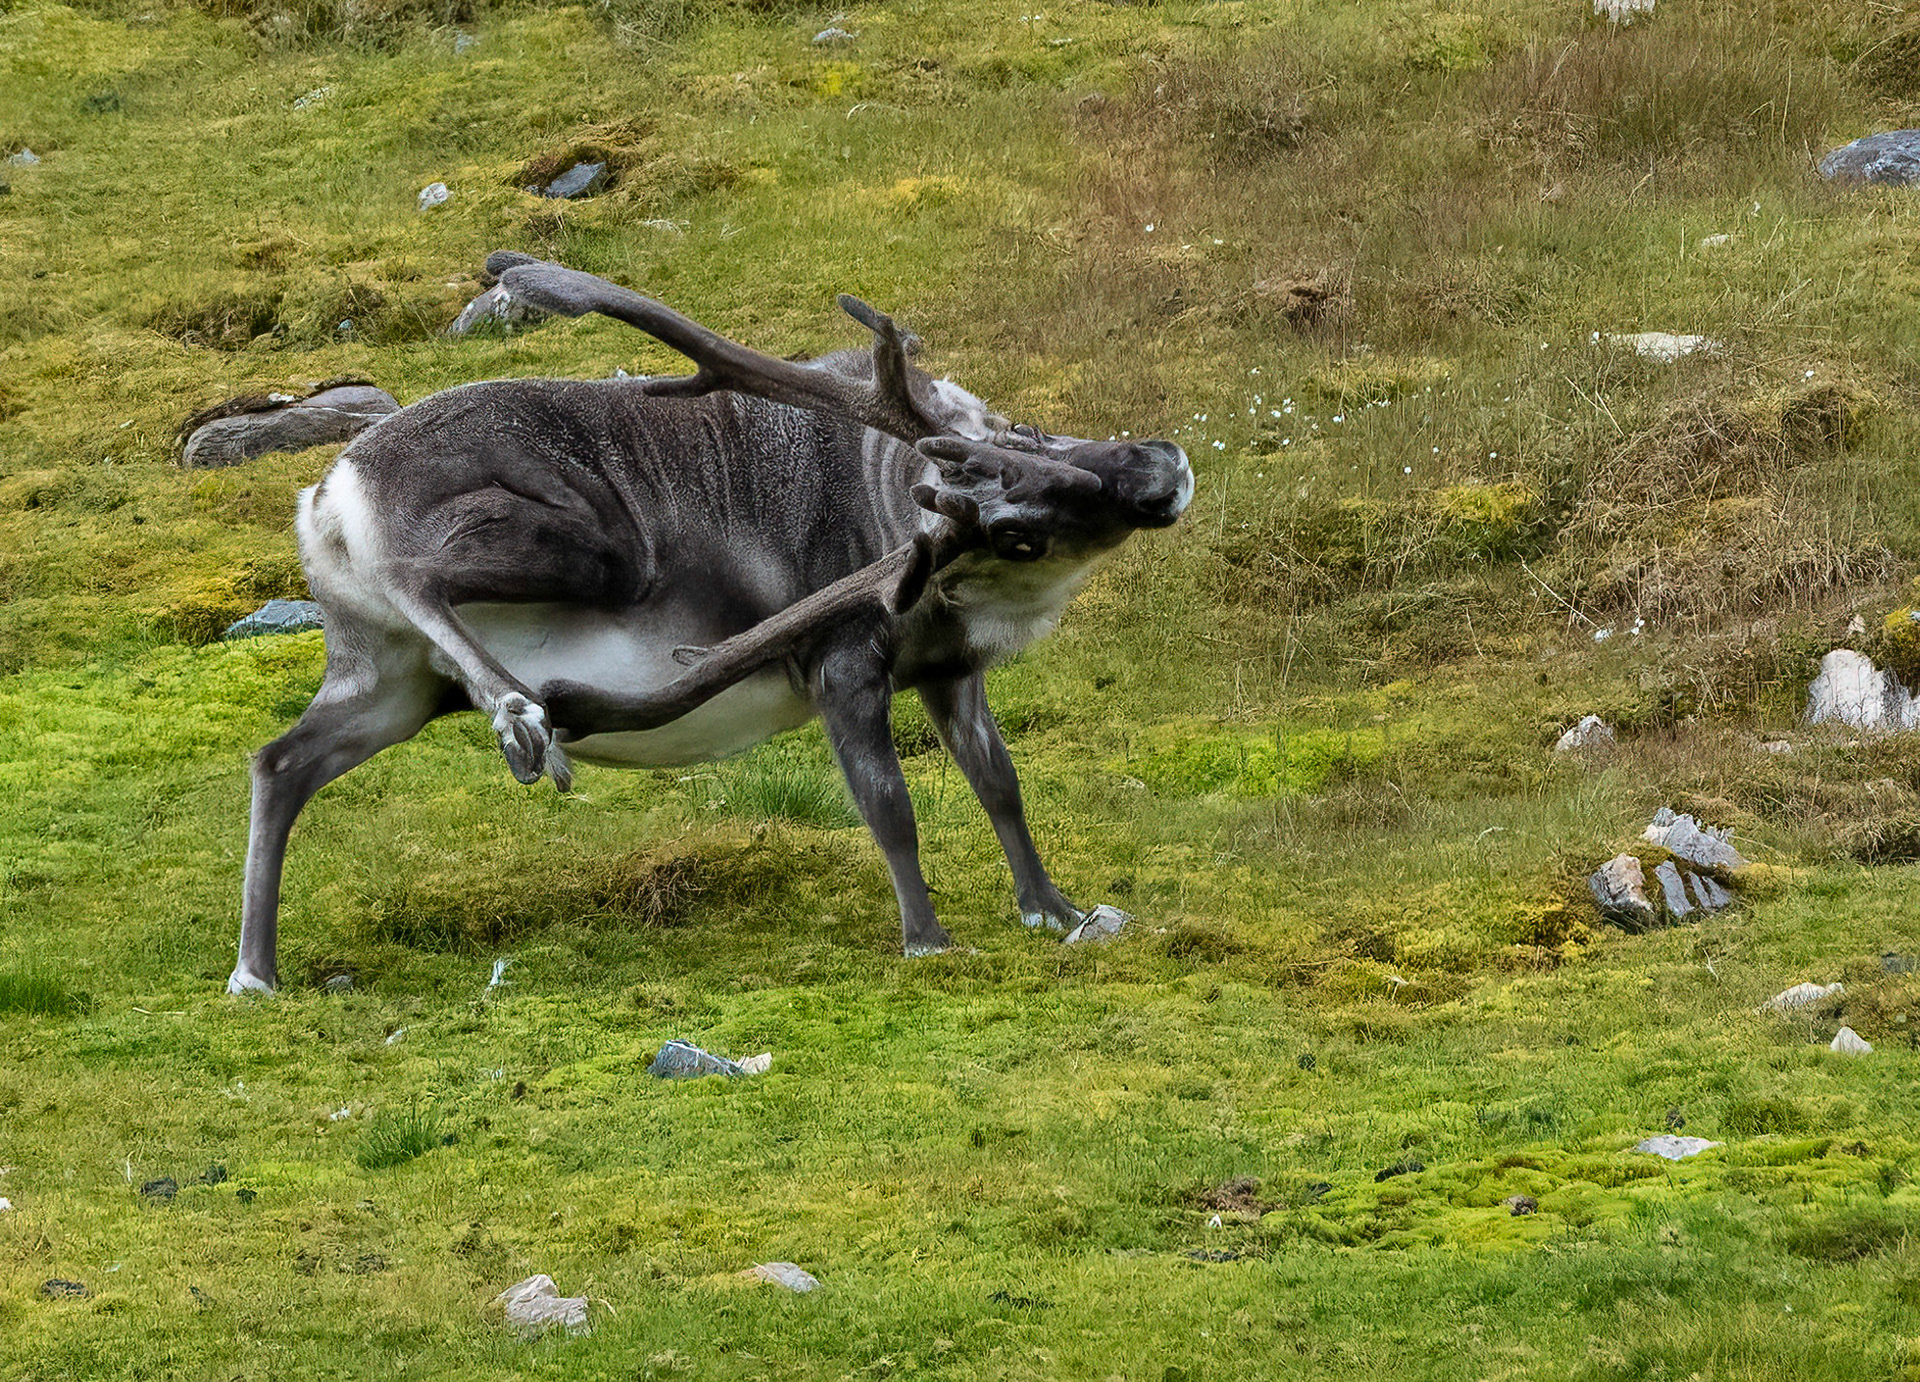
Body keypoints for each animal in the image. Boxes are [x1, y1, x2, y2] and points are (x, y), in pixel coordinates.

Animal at [228, 251, 1192, 994]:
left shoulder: (951, 670)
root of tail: (328, 498)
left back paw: (256, 972)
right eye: (1017, 530)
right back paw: (519, 713)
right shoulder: (843, 660)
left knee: (281, 761)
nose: (1163, 466)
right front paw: (927, 939)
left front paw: (1055, 910)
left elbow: (1001, 784)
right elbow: (889, 806)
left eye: (1025, 428)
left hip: (389, 678)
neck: (890, 509)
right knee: (418, 579)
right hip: (587, 551)